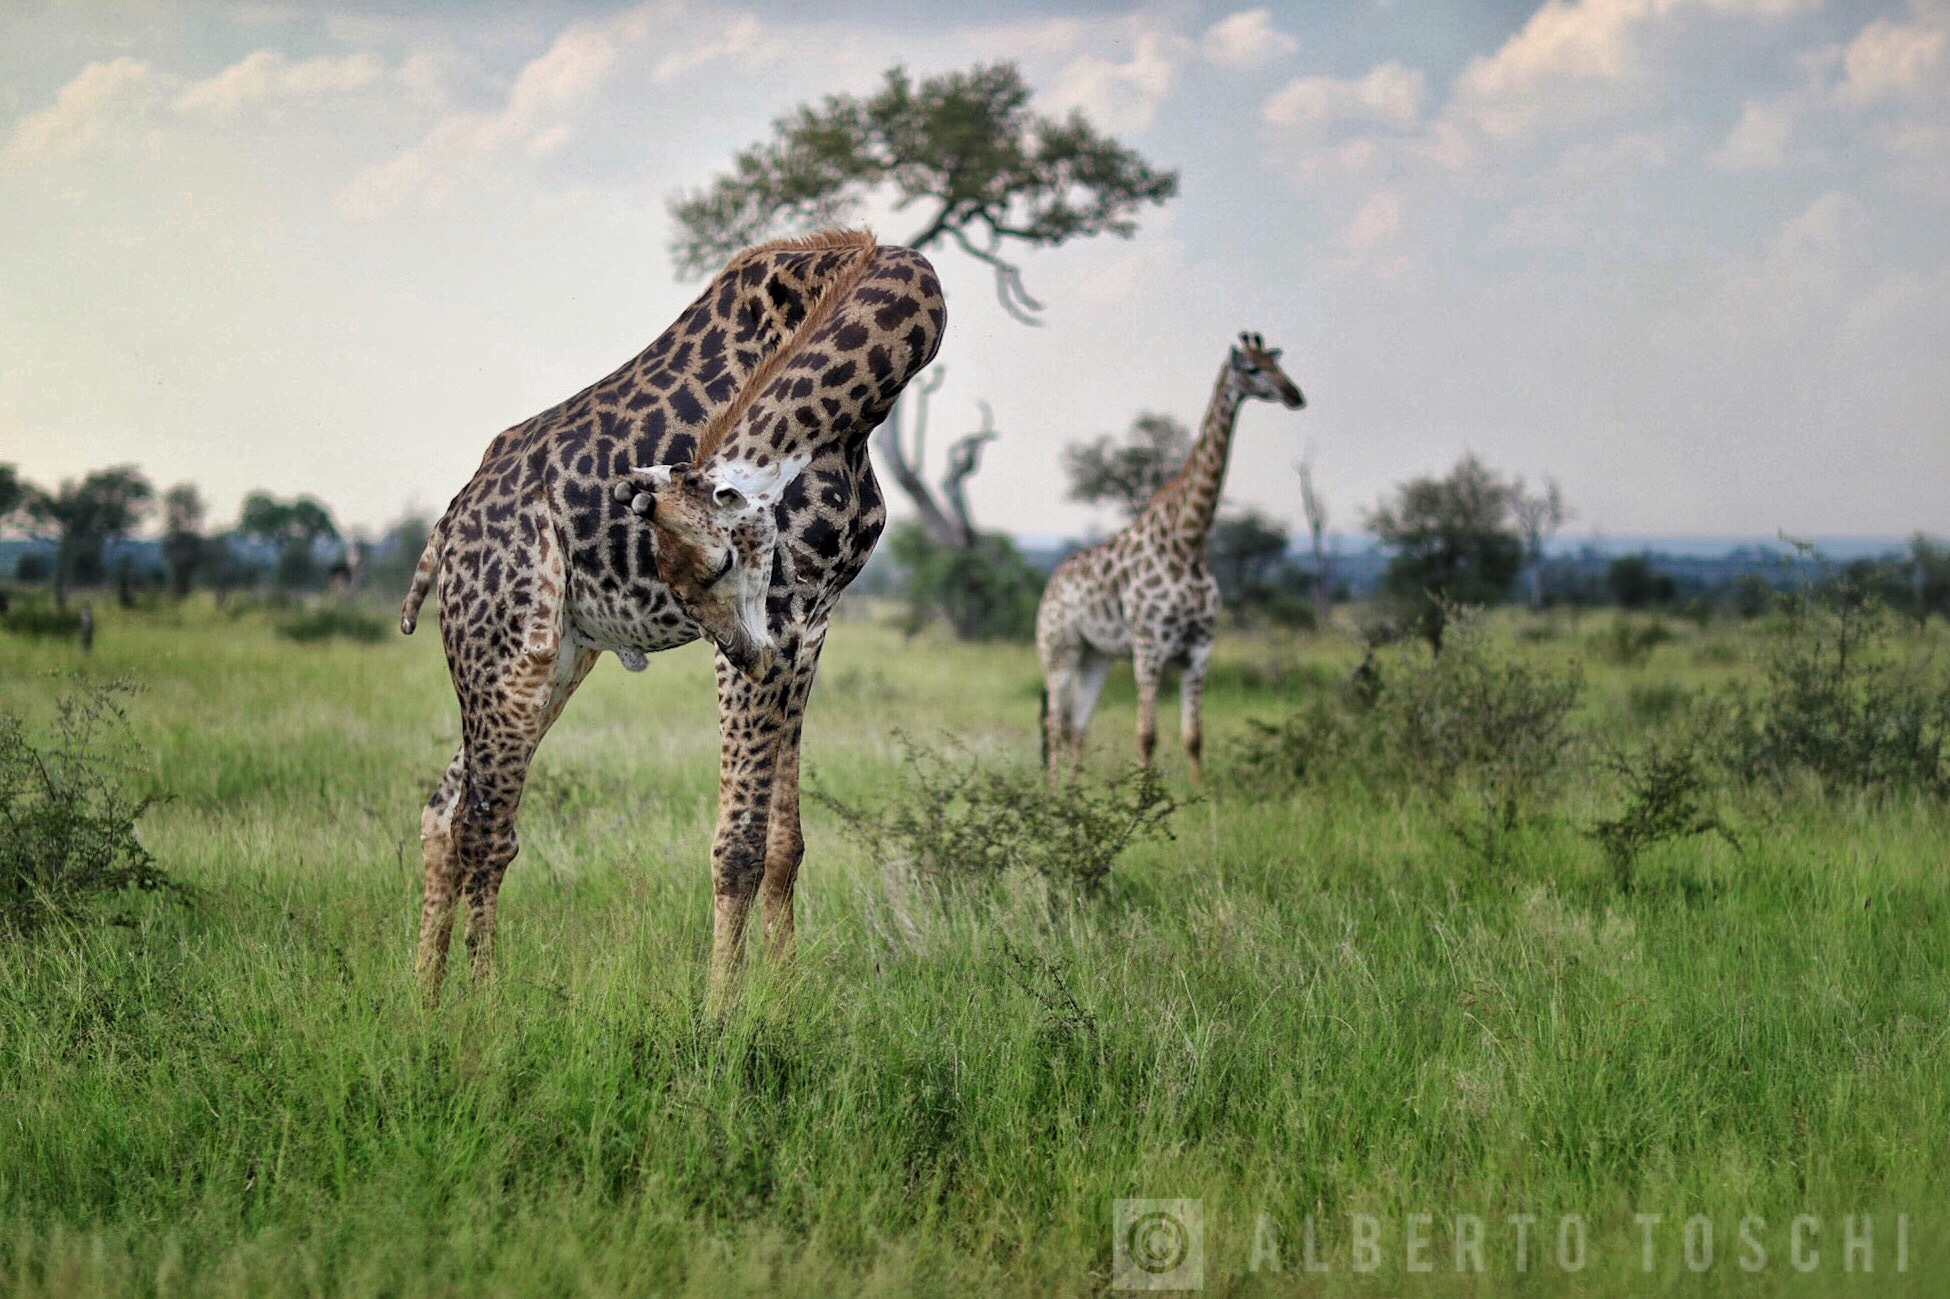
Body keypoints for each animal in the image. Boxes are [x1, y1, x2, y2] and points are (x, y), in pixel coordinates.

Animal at [400, 229, 945, 1004]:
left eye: (714, 569)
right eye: (688, 583)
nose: (749, 654)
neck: (862, 415)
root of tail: (445, 532)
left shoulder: (811, 620)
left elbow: (786, 843)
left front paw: (785, 1000)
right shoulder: (779, 615)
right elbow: (738, 846)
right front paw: (722, 1013)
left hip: (560, 655)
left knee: (444, 809)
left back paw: (426, 1000)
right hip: (506, 642)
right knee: (484, 826)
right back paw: (483, 1006)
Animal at [1036, 332, 1305, 779]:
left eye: (1278, 364)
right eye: (1252, 369)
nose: (1294, 394)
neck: (1189, 540)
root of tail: (1051, 584)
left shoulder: (1199, 649)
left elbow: (1193, 737)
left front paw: (1201, 792)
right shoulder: (1149, 647)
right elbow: (1147, 735)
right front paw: (1144, 797)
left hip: (1097, 656)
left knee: (1077, 726)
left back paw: (1073, 793)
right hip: (1060, 649)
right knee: (1055, 724)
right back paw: (1055, 791)